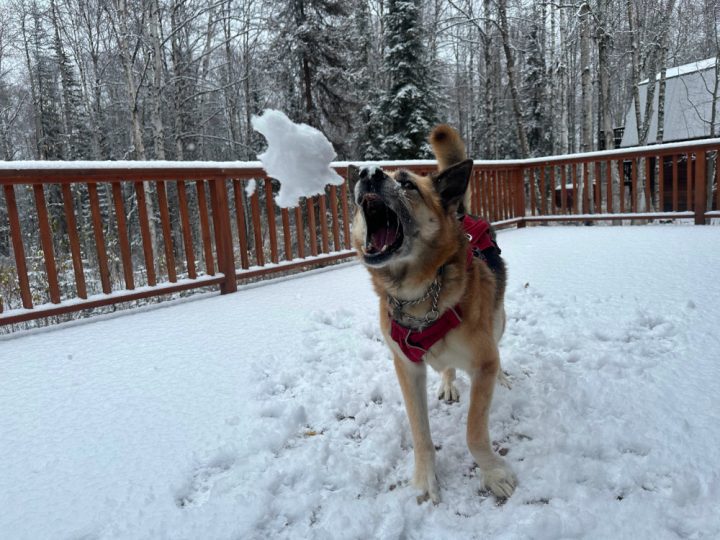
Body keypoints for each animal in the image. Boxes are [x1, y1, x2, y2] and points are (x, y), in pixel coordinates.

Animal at [350, 125, 516, 502]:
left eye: (407, 183)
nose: (367, 172)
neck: (419, 295)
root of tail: (461, 211)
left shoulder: (482, 362)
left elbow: (474, 432)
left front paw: (493, 472)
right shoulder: (408, 368)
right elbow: (420, 434)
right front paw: (425, 478)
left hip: (498, 319)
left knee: (498, 342)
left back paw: (501, 376)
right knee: (447, 368)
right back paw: (448, 382)